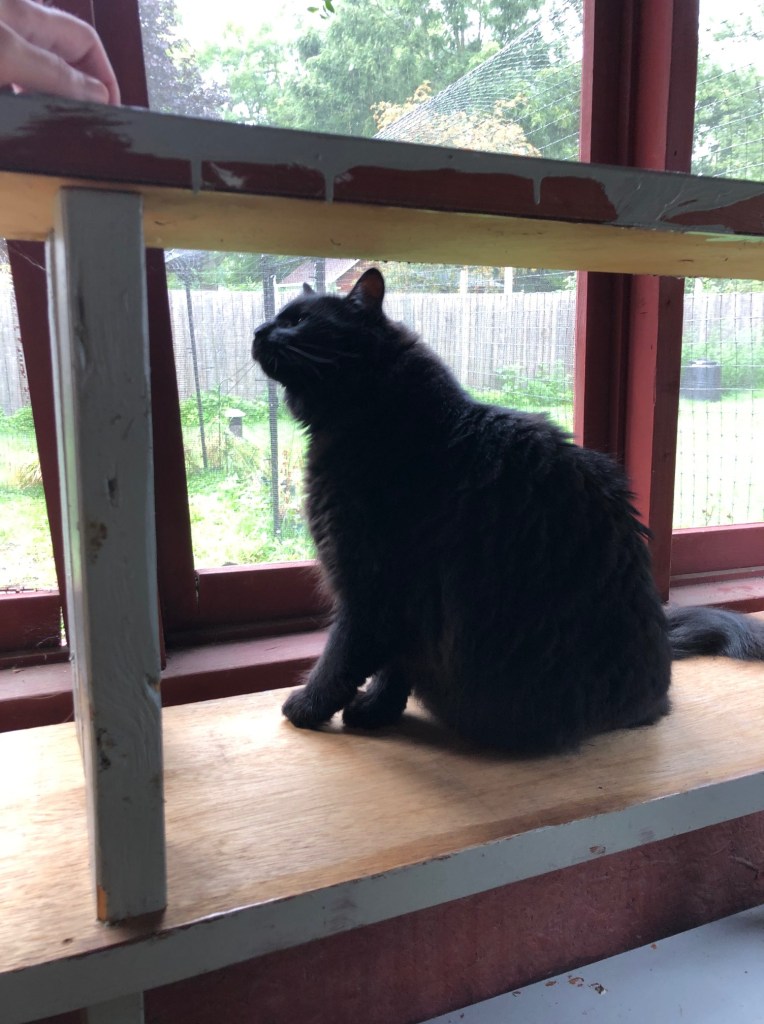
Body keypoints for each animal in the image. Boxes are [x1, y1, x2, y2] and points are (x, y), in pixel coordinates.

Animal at [252, 268, 764, 754]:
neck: (388, 418)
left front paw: (307, 708)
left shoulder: (369, 588)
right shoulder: (403, 604)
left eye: (298, 321)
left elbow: (340, 660)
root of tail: (658, 684)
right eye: (279, 317)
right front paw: (376, 710)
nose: (259, 330)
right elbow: (394, 668)